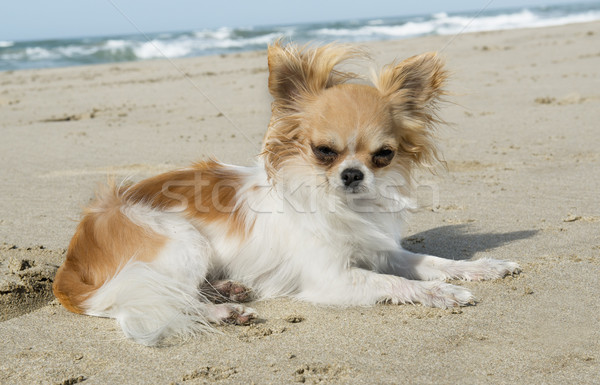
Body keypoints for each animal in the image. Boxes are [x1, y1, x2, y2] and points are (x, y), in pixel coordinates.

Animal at [52, 41, 520, 344]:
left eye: (383, 156)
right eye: (324, 152)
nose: (353, 174)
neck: (341, 205)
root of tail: (74, 257)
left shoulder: (382, 250)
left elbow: (432, 262)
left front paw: (481, 267)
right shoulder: (333, 278)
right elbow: (395, 282)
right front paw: (439, 293)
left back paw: (228, 291)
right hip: (181, 241)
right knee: (143, 300)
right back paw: (224, 310)